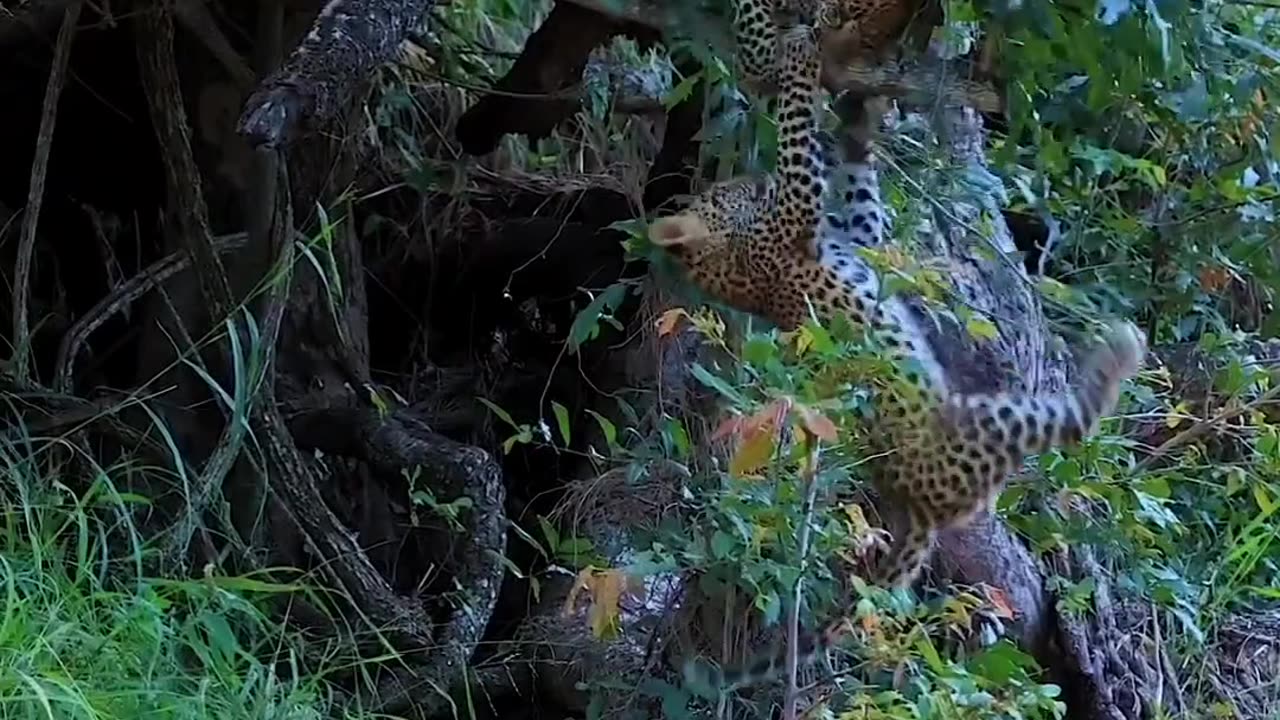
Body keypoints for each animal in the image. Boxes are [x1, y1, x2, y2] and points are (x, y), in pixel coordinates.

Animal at [645, 22, 1146, 691]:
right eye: (724, 193)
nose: (743, 181)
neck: (732, 261)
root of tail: (919, 511)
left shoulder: (859, 237)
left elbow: (858, 185)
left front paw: (862, 112)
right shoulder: (801, 202)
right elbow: (797, 126)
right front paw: (799, 54)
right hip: (988, 424)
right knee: (1069, 421)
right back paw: (1117, 353)